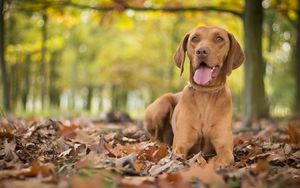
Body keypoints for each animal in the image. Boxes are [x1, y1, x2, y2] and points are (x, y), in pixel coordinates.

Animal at [144, 25, 245, 167]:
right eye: (195, 38)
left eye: (219, 38)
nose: (201, 51)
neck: (205, 94)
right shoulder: (180, 145)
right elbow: (179, 154)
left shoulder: (225, 148)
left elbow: (220, 159)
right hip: (161, 105)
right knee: (154, 137)